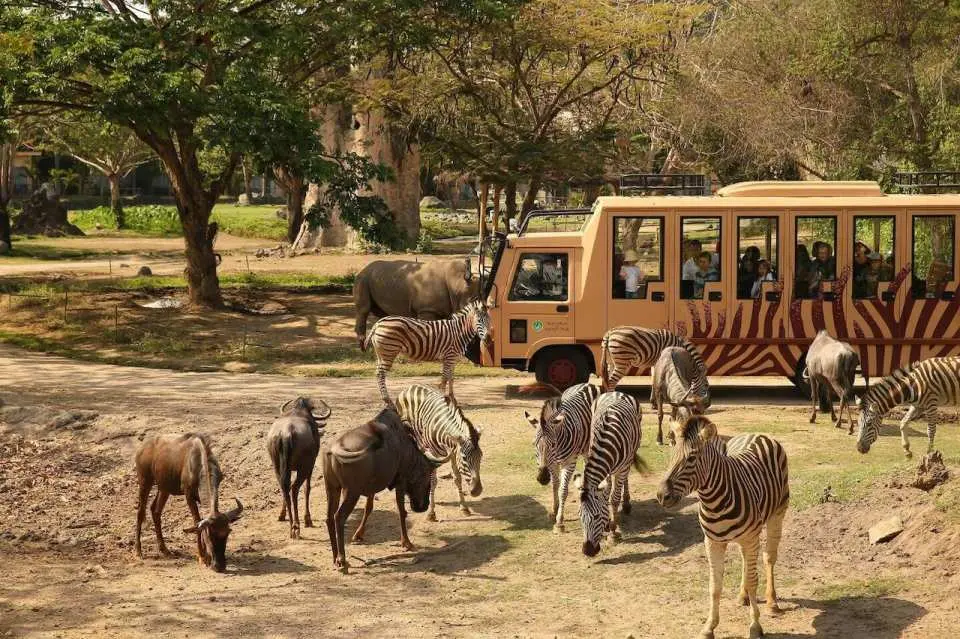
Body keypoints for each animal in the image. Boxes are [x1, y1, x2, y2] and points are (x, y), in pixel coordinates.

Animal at [351, 384, 483, 542]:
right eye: (464, 458)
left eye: (481, 457)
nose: (477, 491)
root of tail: (410, 386)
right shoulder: (434, 452)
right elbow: (433, 480)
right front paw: (431, 514)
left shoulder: (452, 453)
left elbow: (457, 478)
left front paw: (464, 508)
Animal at [523, 383, 632, 532]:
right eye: (534, 444)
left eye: (553, 444)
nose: (542, 478)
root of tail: (588, 384)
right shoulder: (552, 463)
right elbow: (555, 485)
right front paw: (554, 510)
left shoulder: (569, 461)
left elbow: (563, 490)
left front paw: (560, 522)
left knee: (624, 474)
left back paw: (626, 503)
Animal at [576, 391, 643, 556]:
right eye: (580, 516)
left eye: (596, 517)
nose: (587, 551)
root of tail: (616, 392)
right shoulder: (605, 468)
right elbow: (605, 494)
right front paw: (608, 523)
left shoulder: (623, 467)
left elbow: (614, 498)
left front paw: (612, 532)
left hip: (631, 455)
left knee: (625, 480)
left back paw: (626, 504)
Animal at [657, 416, 789, 639]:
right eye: (671, 455)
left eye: (691, 458)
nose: (661, 496)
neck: (713, 502)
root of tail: (757, 433)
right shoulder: (712, 542)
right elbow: (714, 586)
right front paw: (709, 627)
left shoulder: (750, 538)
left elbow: (753, 581)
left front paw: (755, 626)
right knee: (746, 561)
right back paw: (743, 596)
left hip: (776, 515)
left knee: (769, 558)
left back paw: (772, 602)